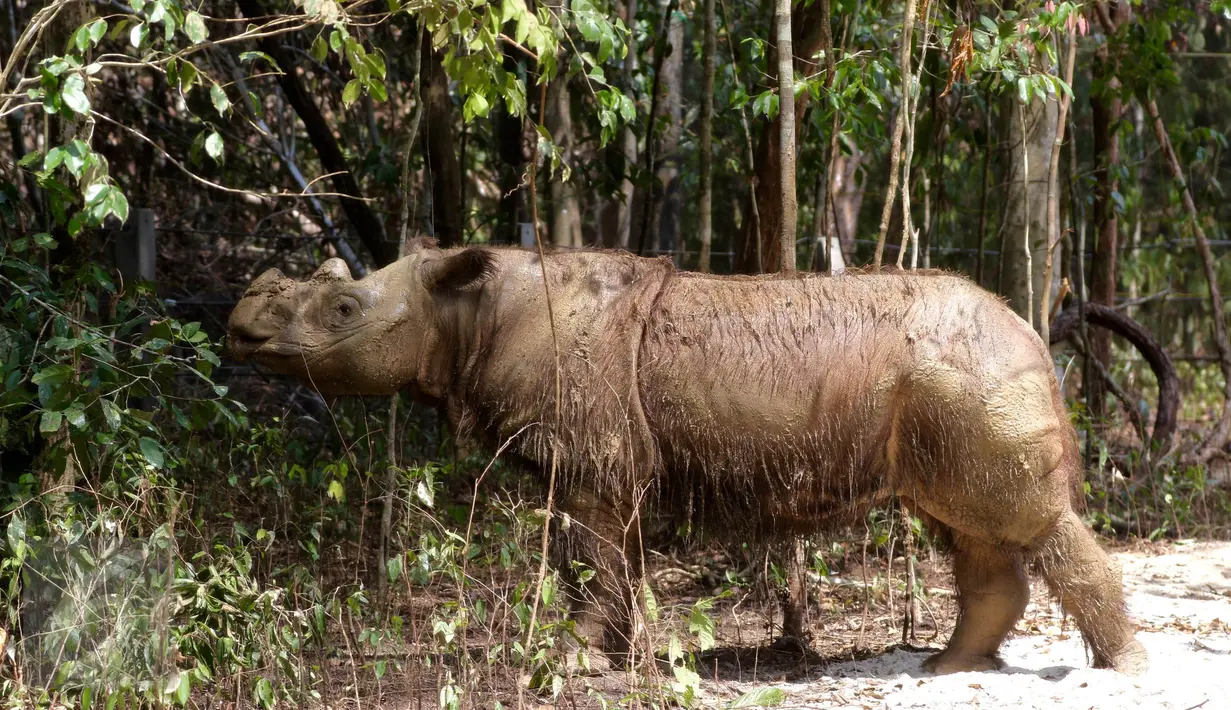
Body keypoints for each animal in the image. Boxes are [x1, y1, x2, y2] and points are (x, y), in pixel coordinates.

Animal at [226, 239, 1147, 675]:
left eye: (343, 310)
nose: (240, 329)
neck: (470, 309)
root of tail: (1029, 328)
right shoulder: (610, 464)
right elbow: (617, 561)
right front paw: (627, 657)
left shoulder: (588, 462)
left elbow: (588, 562)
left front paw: (571, 659)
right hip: (954, 383)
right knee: (968, 529)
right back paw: (943, 668)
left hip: (970, 374)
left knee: (1018, 520)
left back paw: (1116, 671)